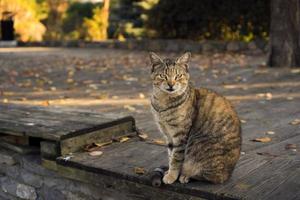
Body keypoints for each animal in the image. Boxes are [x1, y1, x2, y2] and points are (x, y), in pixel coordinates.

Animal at [150, 52, 241, 184]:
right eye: (163, 76)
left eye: (178, 76)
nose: (171, 85)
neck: (163, 102)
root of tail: (229, 174)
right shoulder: (168, 134)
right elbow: (170, 154)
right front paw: (169, 172)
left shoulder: (180, 135)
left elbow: (176, 158)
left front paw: (172, 176)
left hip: (199, 147)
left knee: (211, 176)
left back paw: (185, 175)